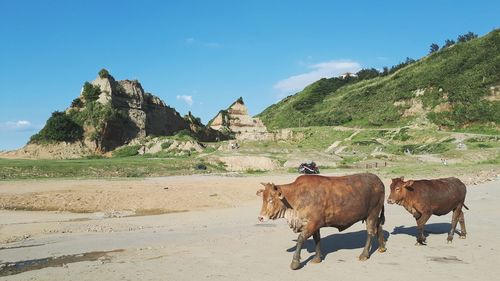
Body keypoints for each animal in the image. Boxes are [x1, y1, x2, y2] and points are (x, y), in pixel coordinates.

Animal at [256, 173, 384, 270]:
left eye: (271, 200)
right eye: (263, 199)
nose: (260, 217)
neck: (297, 196)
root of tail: (378, 180)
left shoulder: (312, 223)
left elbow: (301, 239)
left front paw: (295, 262)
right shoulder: (314, 225)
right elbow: (316, 239)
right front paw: (317, 258)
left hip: (372, 213)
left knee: (370, 232)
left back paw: (364, 254)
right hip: (373, 214)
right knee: (379, 224)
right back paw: (382, 246)